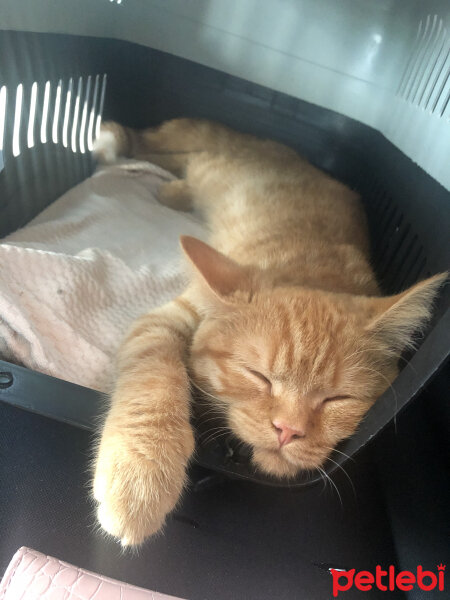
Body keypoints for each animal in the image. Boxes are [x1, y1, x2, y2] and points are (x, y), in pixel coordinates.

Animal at [92, 117, 446, 544]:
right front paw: (139, 474)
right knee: (164, 152)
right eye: (258, 376)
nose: (288, 431)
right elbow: (153, 379)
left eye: (337, 399)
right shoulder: (165, 320)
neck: (309, 269)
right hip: (208, 162)